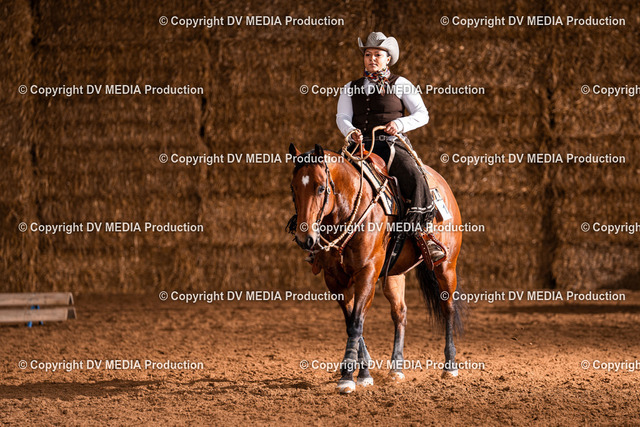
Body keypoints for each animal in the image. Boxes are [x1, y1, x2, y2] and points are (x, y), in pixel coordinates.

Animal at [287, 131, 464, 394]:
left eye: (321, 188)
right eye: (293, 188)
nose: (305, 238)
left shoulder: (367, 272)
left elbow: (356, 322)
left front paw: (347, 378)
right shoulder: (335, 280)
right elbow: (352, 321)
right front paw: (363, 373)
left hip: (446, 266)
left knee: (448, 308)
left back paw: (450, 366)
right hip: (394, 274)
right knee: (400, 313)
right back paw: (396, 369)